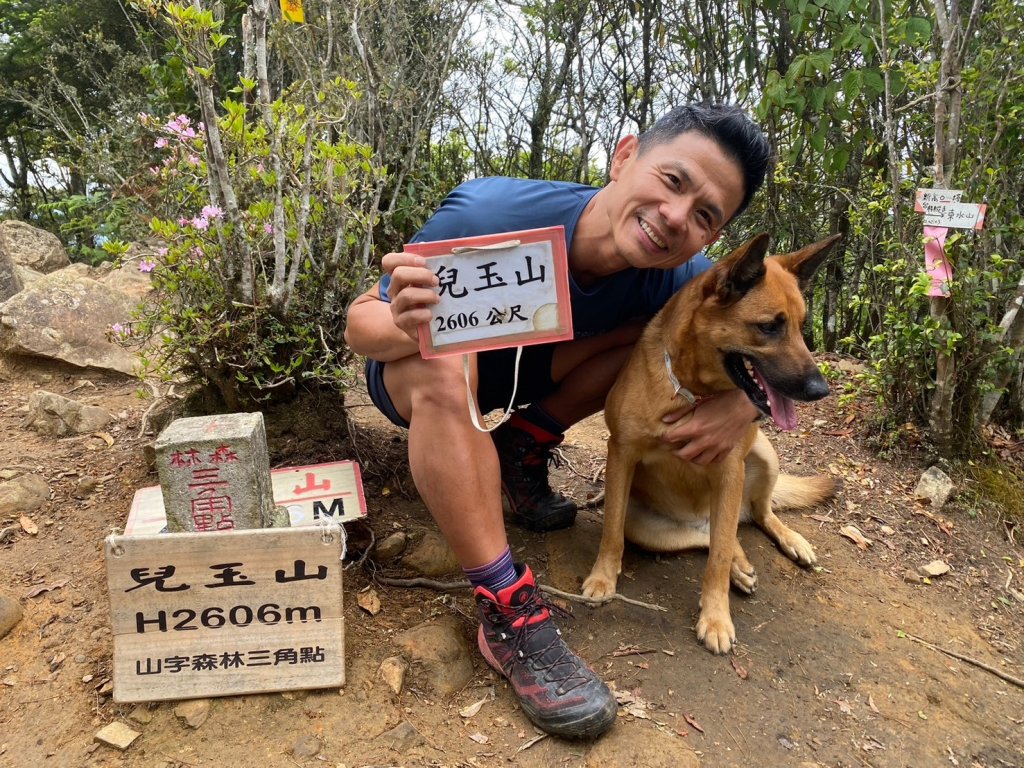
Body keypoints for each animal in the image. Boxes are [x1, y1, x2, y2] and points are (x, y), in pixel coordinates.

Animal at [585, 233, 839, 655]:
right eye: (769, 327)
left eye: (803, 327)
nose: (821, 390)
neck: (691, 394)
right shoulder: (621, 455)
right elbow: (610, 532)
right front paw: (603, 578)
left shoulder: (729, 470)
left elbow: (718, 558)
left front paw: (716, 618)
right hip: (648, 526)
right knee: (710, 536)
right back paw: (741, 566)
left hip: (763, 457)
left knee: (751, 519)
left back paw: (785, 543)